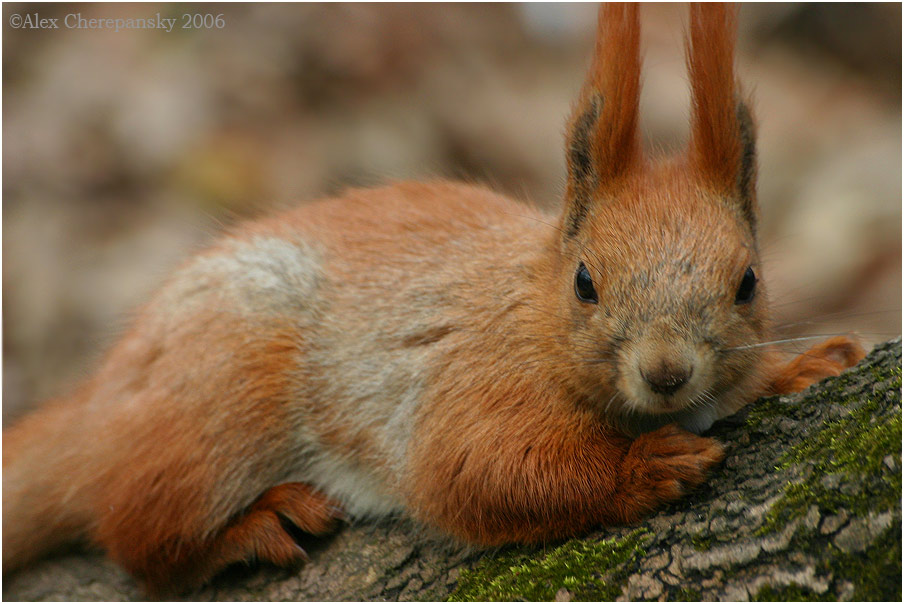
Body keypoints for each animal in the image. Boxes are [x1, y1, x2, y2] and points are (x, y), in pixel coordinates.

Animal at [1, 3, 860, 600]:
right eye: (585, 282)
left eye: (748, 282)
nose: (667, 372)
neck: (531, 309)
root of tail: (99, 406)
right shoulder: (474, 380)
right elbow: (478, 468)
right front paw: (642, 466)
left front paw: (800, 368)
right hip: (220, 402)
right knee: (138, 537)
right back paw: (249, 526)